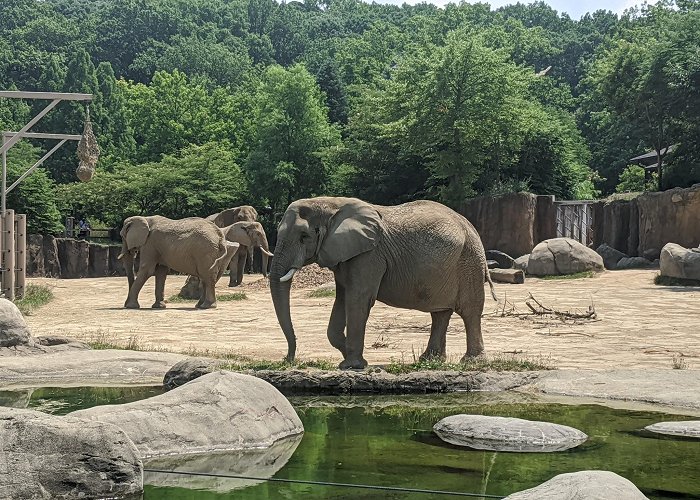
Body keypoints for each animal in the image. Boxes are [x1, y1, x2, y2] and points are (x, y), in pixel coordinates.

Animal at [270, 197, 498, 370]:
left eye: (304, 237)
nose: (288, 359)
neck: (331, 203)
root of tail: (471, 227)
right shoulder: (346, 255)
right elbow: (342, 298)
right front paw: (352, 357)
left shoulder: (369, 255)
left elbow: (358, 299)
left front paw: (351, 365)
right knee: (440, 313)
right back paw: (429, 360)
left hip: (469, 261)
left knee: (469, 311)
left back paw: (472, 362)